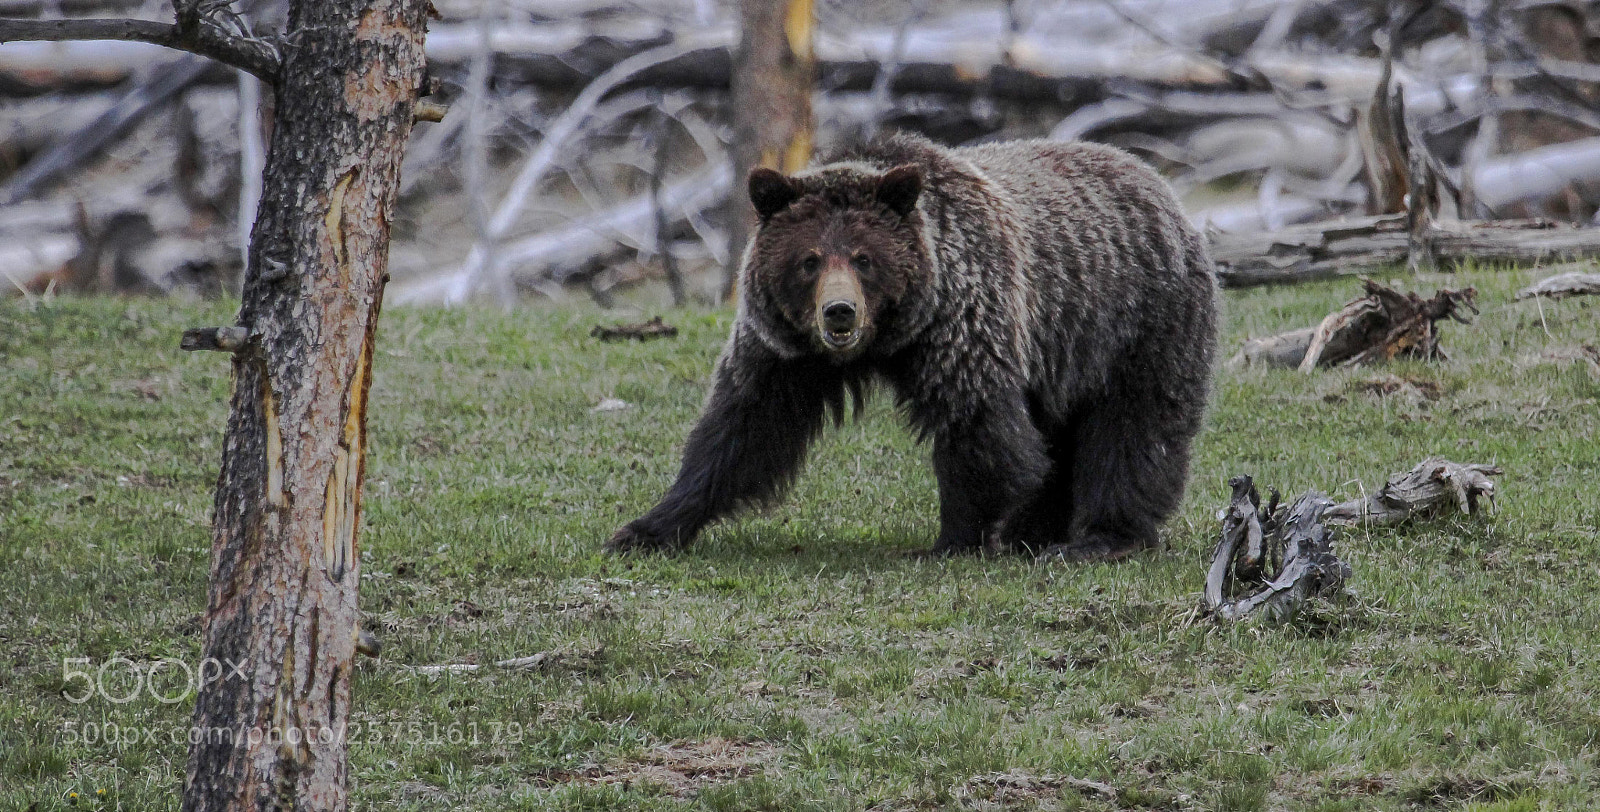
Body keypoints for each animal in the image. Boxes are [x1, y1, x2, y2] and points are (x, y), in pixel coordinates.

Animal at [607, 132, 1218, 561]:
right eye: (809, 260)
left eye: (863, 257)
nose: (839, 312)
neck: (889, 339)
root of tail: (1159, 183)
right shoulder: (784, 351)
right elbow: (743, 428)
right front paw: (646, 527)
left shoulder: (962, 322)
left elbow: (980, 431)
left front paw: (953, 538)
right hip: (1063, 349)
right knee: (1062, 432)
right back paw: (1037, 531)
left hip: (1135, 323)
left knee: (1133, 429)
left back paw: (1098, 538)